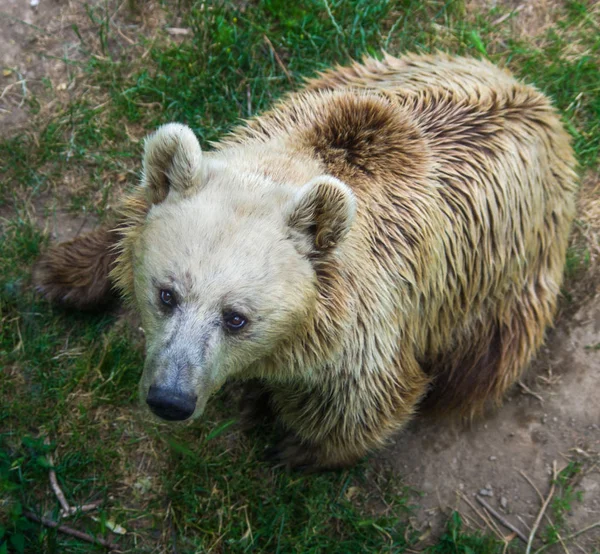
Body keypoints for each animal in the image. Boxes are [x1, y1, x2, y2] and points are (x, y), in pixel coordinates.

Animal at [35, 54, 580, 470]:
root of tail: (542, 106)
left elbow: (367, 402)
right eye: (166, 294)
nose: (170, 399)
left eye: (236, 317)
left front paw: (296, 447)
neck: (293, 170)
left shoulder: (368, 323)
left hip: (509, 284)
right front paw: (65, 273)